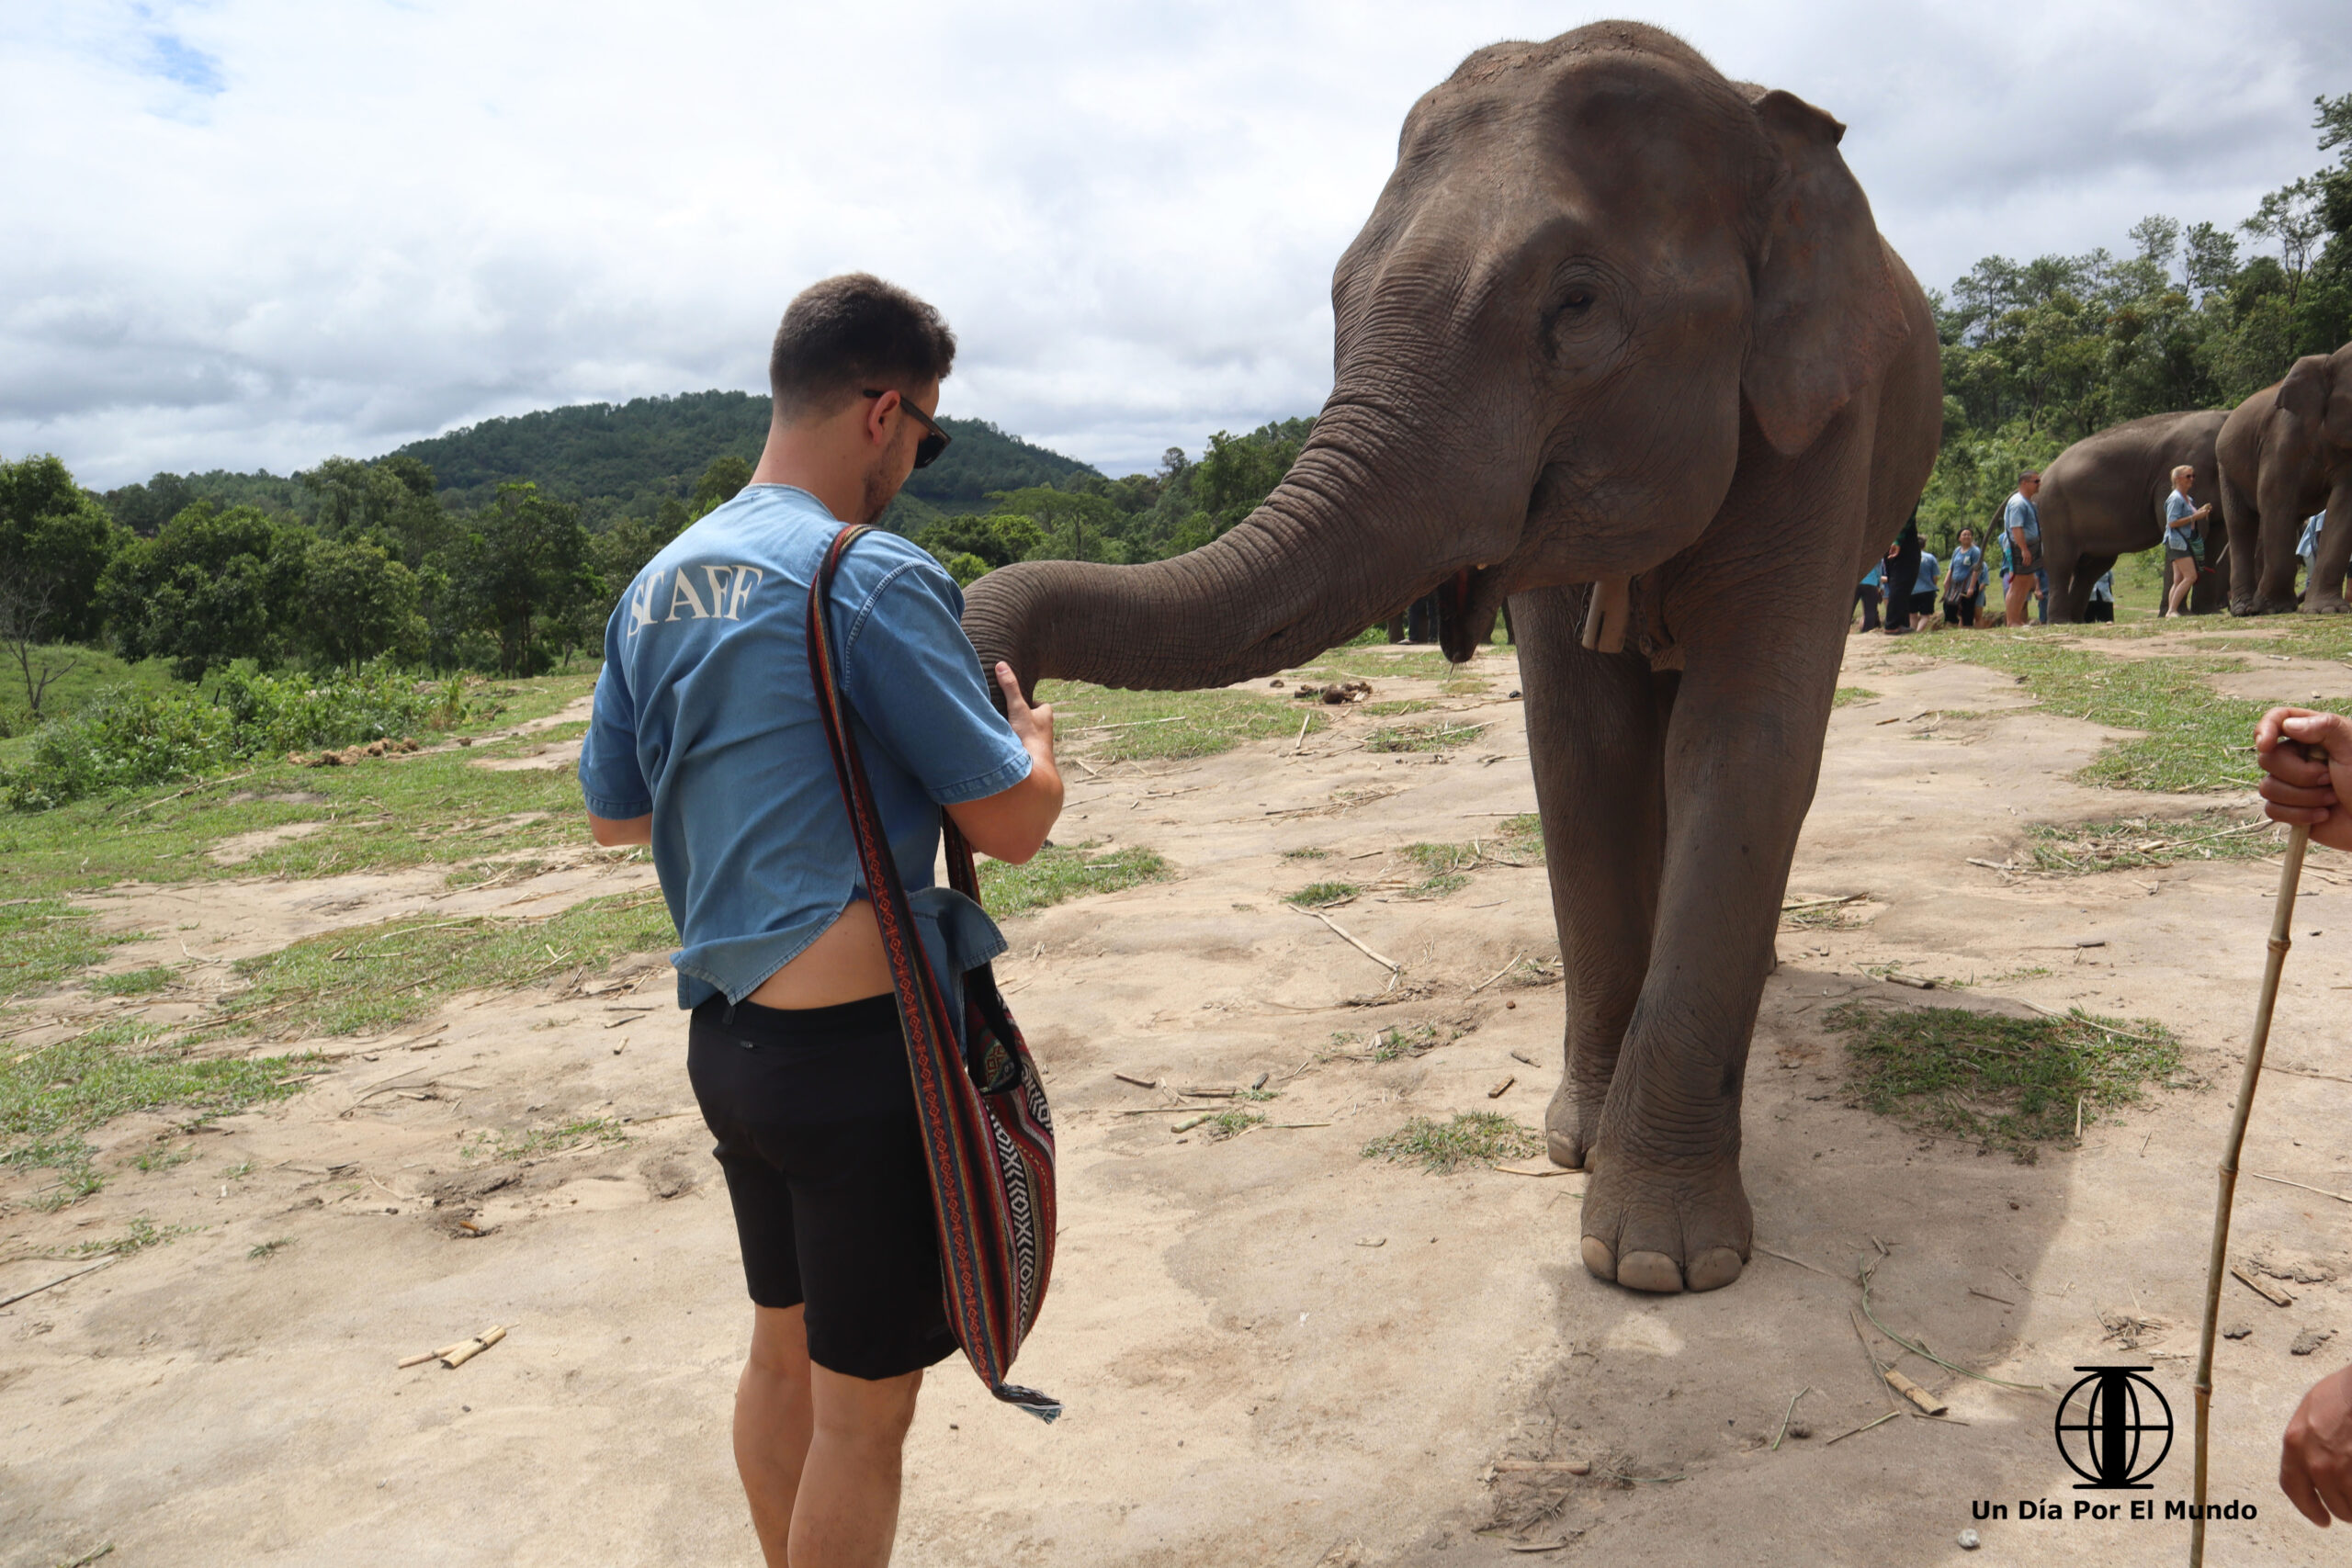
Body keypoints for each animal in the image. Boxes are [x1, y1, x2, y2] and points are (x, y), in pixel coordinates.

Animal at [964, 24, 1938, 1297]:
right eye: (1336, 295)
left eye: (1576, 304)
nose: (1000, 693)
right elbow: (1579, 755)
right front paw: (1575, 1151)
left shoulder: (1823, 428)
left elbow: (1748, 743)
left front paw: (1658, 1266)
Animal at [2041, 409, 2220, 620]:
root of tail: (2043, 474)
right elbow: (2189, 528)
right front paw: (2181, 614)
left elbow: (2217, 534)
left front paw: (2210, 611)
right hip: (2054, 513)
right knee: (2061, 564)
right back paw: (2061, 621)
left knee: (2092, 569)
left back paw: (2076, 621)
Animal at [2220, 345, 2352, 615]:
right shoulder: (2281, 439)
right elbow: (2276, 500)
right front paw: (2272, 608)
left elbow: (2344, 506)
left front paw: (2328, 610)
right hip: (2226, 469)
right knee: (2241, 523)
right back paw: (2245, 609)